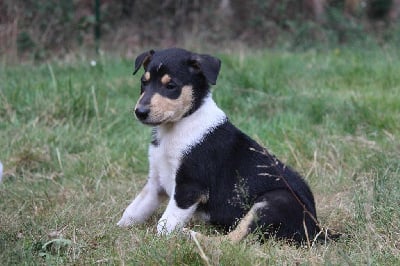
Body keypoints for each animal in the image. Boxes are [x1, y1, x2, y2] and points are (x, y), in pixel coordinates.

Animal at [117, 47, 324, 243]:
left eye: (171, 86)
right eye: (144, 82)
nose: (140, 112)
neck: (179, 125)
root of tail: (318, 230)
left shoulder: (189, 186)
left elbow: (166, 222)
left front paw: (161, 240)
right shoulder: (156, 181)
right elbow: (133, 209)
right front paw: (117, 231)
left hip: (272, 201)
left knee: (232, 240)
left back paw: (190, 236)